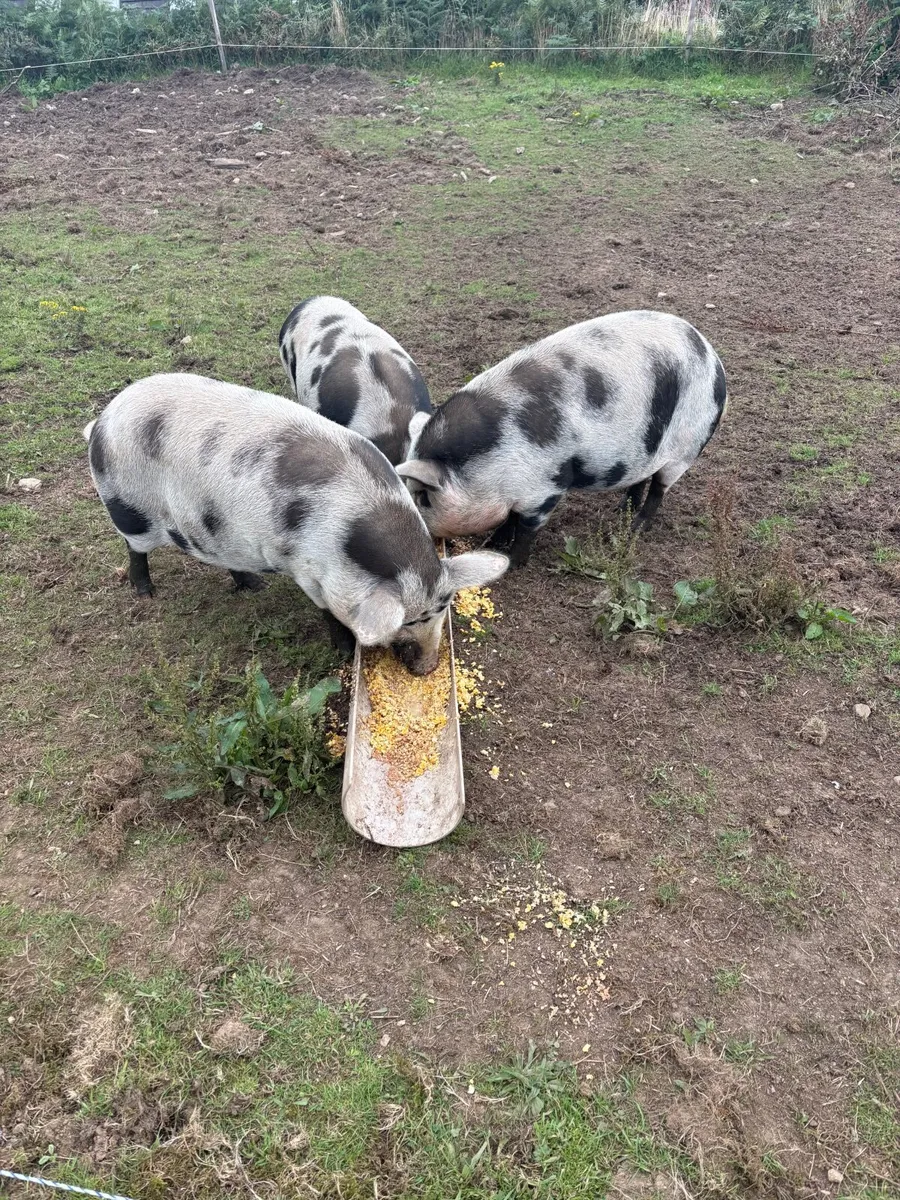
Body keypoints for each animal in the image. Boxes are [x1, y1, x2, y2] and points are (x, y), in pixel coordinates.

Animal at [83, 373, 507, 675]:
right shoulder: (307, 571)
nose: (428, 669)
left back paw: (253, 586)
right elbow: (329, 614)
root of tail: (103, 420)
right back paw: (145, 592)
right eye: (410, 620)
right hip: (127, 505)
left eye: (443, 611)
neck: (346, 544)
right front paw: (345, 651)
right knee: (135, 549)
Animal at [396, 310, 727, 568]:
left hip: (687, 445)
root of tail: (711, 354)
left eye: (424, 496)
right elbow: (509, 519)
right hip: (645, 451)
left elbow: (525, 527)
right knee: (641, 479)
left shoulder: (546, 487)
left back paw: (636, 528)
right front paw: (491, 544)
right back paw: (621, 511)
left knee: (659, 487)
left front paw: (512, 563)